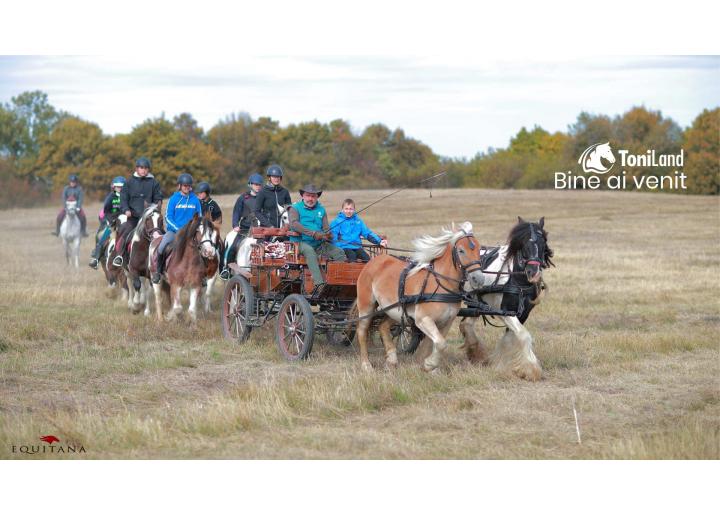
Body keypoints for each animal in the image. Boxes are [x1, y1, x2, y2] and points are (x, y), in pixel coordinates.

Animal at [352, 220, 484, 372]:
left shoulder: (446, 322)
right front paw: (429, 364)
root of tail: (373, 262)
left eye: (479, 249)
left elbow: (433, 344)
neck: (442, 284)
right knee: (362, 331)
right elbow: (440, 343)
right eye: (461, 251)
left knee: (383, 327)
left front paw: (429, 366)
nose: (478, 279)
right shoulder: (423, 319)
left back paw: (391, 360)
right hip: (366, 306)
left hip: (395, 310)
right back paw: (366, 365)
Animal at [458, 216, 556, 380]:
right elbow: (523, 335)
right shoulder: (505, 312)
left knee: (466, 324)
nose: (533, 273)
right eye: (522, 244)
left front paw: (503, 362)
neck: (517, 280)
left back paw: (476, 354)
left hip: (475, 302)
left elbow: (511, 336)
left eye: (543, 242)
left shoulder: (523, 313)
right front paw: (530, 369)